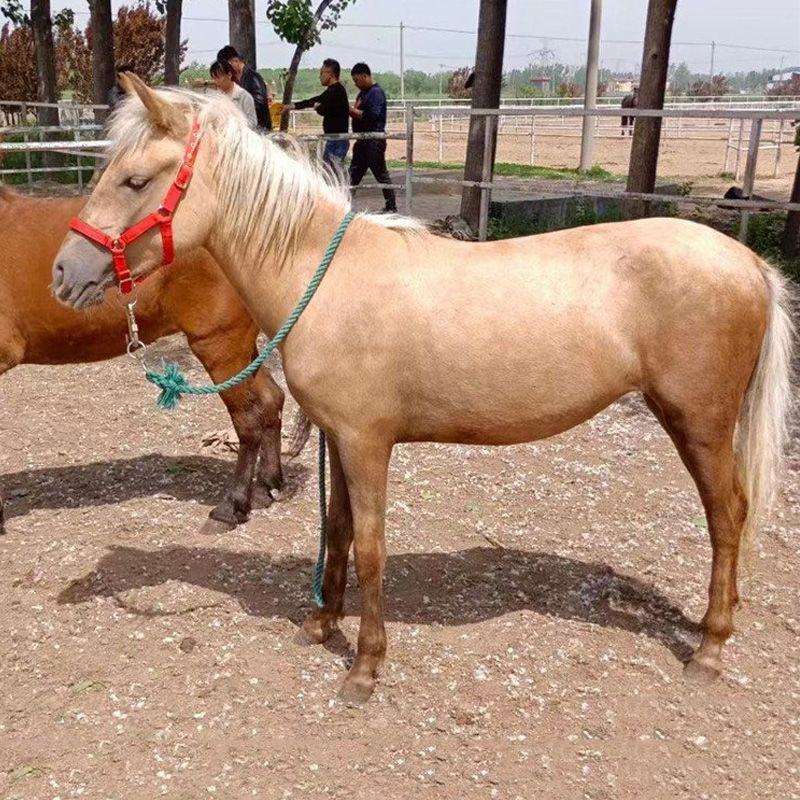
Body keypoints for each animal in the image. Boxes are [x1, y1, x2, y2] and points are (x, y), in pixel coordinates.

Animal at [0, 187, 296, 535]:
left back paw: (231, 507)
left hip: (220, 344)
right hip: (239, 348)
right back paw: (265, 488)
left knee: (248, 419)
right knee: (270, 400)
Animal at [52, 75, 795, 705]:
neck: (323, 276)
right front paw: (320, 624)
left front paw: (364, 667)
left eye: (136, 179)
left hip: (698, 421)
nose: (64, 273)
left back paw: (709, 648)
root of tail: (749, 263)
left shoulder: (366, 443)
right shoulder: (339, 438)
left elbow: (372, 546)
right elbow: (339, 531)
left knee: (727, 517)